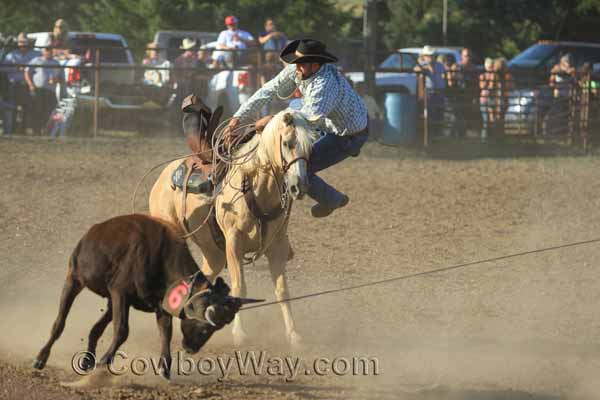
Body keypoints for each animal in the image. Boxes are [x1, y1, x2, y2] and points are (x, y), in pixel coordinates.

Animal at [150, 111, 316, 346]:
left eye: (310, 146)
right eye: (287, 142)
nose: (299, 186)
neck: (258, 190)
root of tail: (163, 177)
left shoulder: (277, 247)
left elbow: (282, 290)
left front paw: (293, 334)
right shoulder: (233, 243)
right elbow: (239, 287)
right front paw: (239, 334)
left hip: (213, 253)